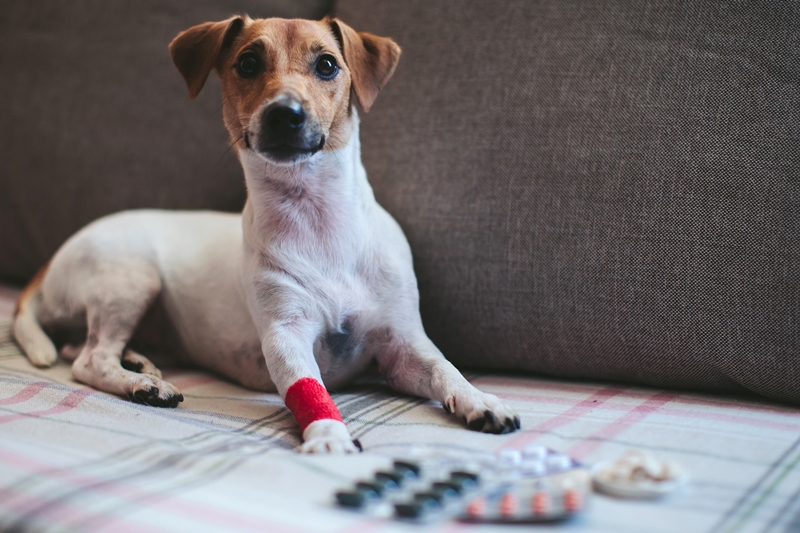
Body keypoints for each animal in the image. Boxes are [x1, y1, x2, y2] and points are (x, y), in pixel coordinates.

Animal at [17, 14, 524, 450]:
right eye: (247, 63)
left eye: (327, 65)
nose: (285, 113)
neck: (317, 220)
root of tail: (50, 263)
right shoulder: (285, 336)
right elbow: (309, 389)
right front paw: (329, 434)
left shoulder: (402, 344)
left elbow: (444, 368)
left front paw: (481, 400)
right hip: (129, 278)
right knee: (89, 358)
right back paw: (141, 382)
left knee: (78, 346)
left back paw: (141, 362)